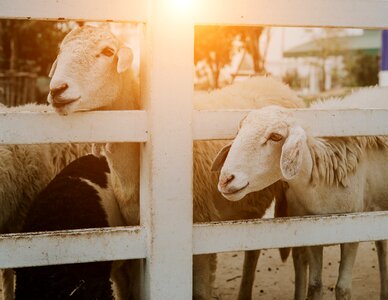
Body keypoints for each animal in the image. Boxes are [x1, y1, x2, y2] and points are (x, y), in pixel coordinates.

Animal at [47, 25, 304, 300]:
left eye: (107, 51)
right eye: (60, 51)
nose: (57, 89)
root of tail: (271, 80)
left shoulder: (199, 224)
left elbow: (200, 291)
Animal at [214, 86, 388, 300]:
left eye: (276, 136)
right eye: (239, 131)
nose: (225, 179)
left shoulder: (353, 230)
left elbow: (342, 288)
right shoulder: (311, 229)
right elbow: (314, 285)